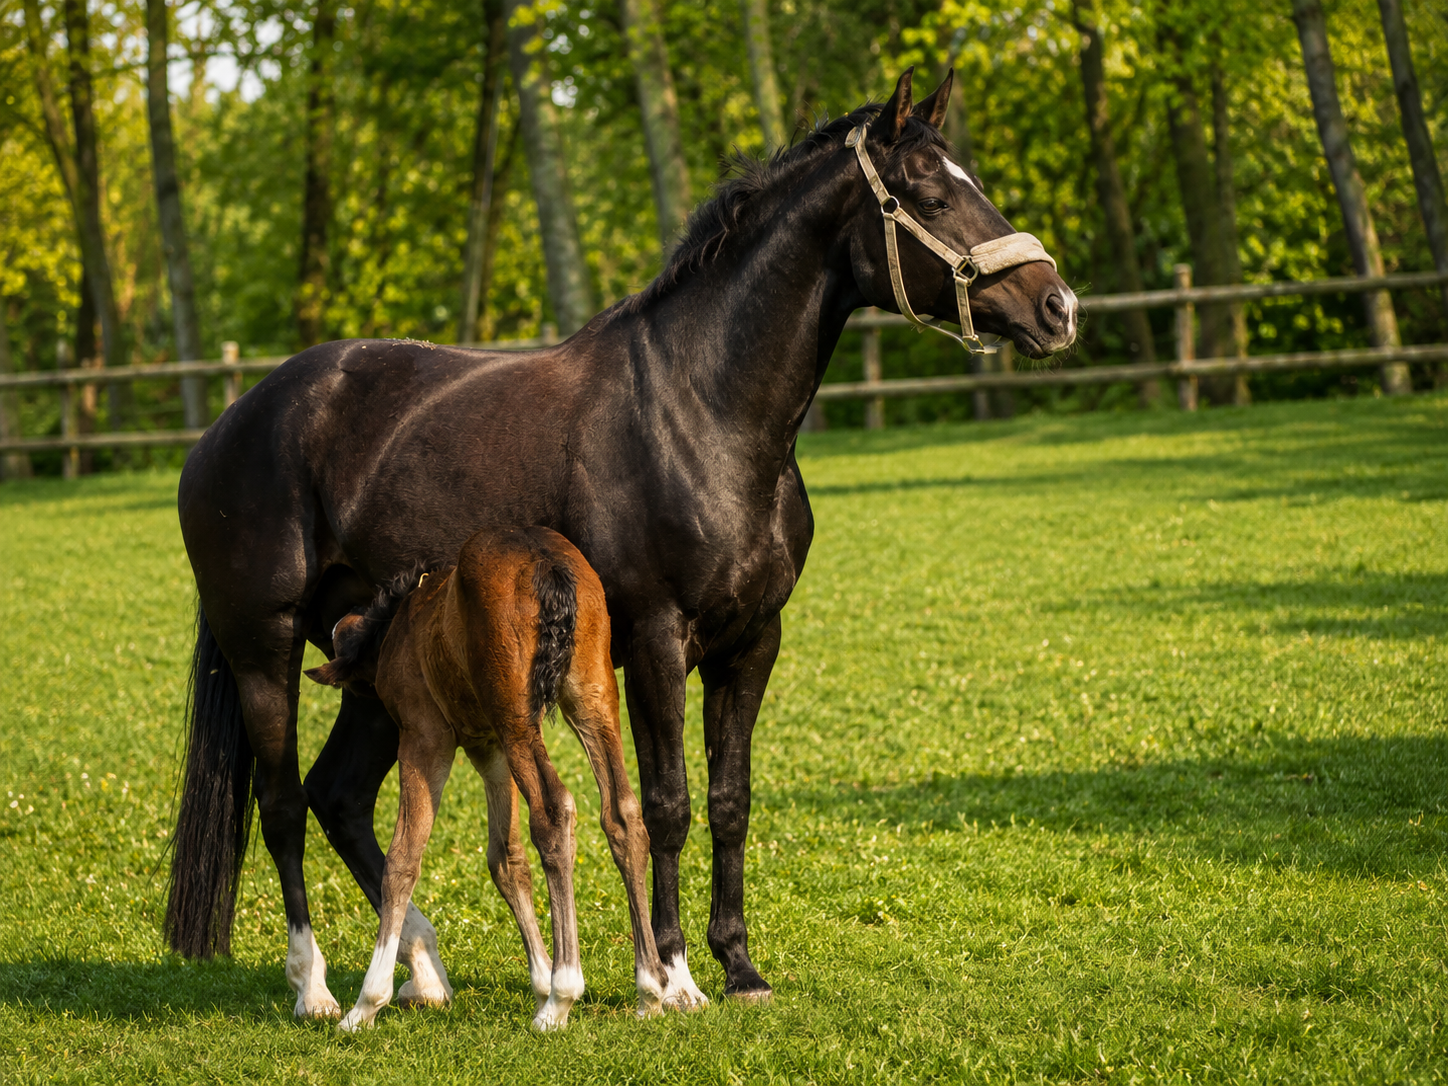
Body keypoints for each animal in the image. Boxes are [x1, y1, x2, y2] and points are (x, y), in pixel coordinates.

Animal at [304, 526, 667, 1030]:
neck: (403, 620)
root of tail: (547, 560)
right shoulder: (487, 747)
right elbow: (506, 859)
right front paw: (539, 979)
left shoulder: (425, 737)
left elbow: (403, 857)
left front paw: (366, 1005)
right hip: (591, 699)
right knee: (623, 814)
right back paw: (650, 989)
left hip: (517, 717)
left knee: (554, 811)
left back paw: (563, 995)